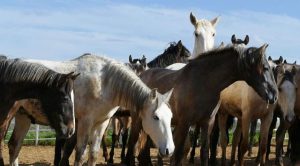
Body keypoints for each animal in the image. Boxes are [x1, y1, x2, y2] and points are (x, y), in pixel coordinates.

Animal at [8, 54, 175, 166]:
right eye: (156, 117)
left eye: (170, 117)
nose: (169, 149)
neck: (104, 82)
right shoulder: (85, 122)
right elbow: (80, 154)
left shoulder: (102, 122)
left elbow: (93, 154)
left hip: (23, 116)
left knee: (14, 146)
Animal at [125, 44, 278, 166]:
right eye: (265, 68)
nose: (274, 95)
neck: (203, 83)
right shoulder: (184, 123)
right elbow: (178, 155)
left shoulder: (207, 123)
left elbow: (204, 152)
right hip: (137, 121)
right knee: (132, 143)